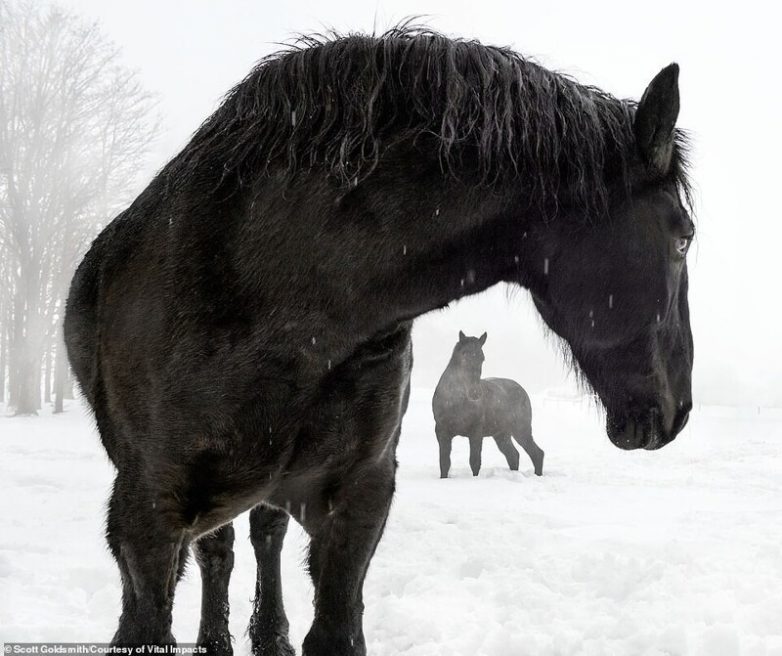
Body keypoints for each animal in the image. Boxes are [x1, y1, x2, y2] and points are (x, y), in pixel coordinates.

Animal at [432, 334, 544, 476]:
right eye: (464, 354)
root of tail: (522, 390)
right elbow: (444, 463)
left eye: (482, 358)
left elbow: (474, 462)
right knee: (513, 456)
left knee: (536, 453)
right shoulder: (442, 432)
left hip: (521, 430)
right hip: (502, 435)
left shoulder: (476, 432)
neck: (455, 402)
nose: (474, 392)